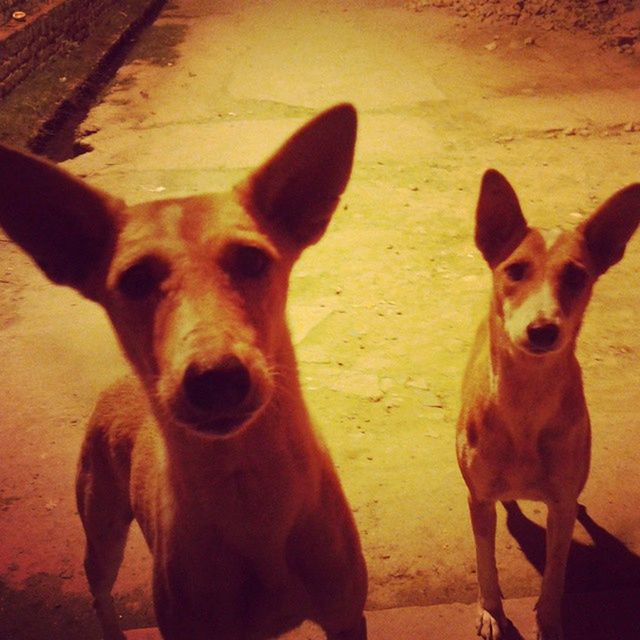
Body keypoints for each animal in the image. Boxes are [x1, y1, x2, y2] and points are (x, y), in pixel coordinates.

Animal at [0, 106, 368, 640]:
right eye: (135, 279)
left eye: (253, 259)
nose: (216, 378)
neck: (248, 496)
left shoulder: (346, 615)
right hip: (102, 528)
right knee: (98, 590)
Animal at [458, 169, 636, 640]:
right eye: (515, 270)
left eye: (576, 276)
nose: (542, 330)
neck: (526, 402)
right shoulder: (478, 500)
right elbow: (485, 564)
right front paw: (490, 612)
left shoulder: (560, 507)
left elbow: (556, 574)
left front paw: (549, 620)